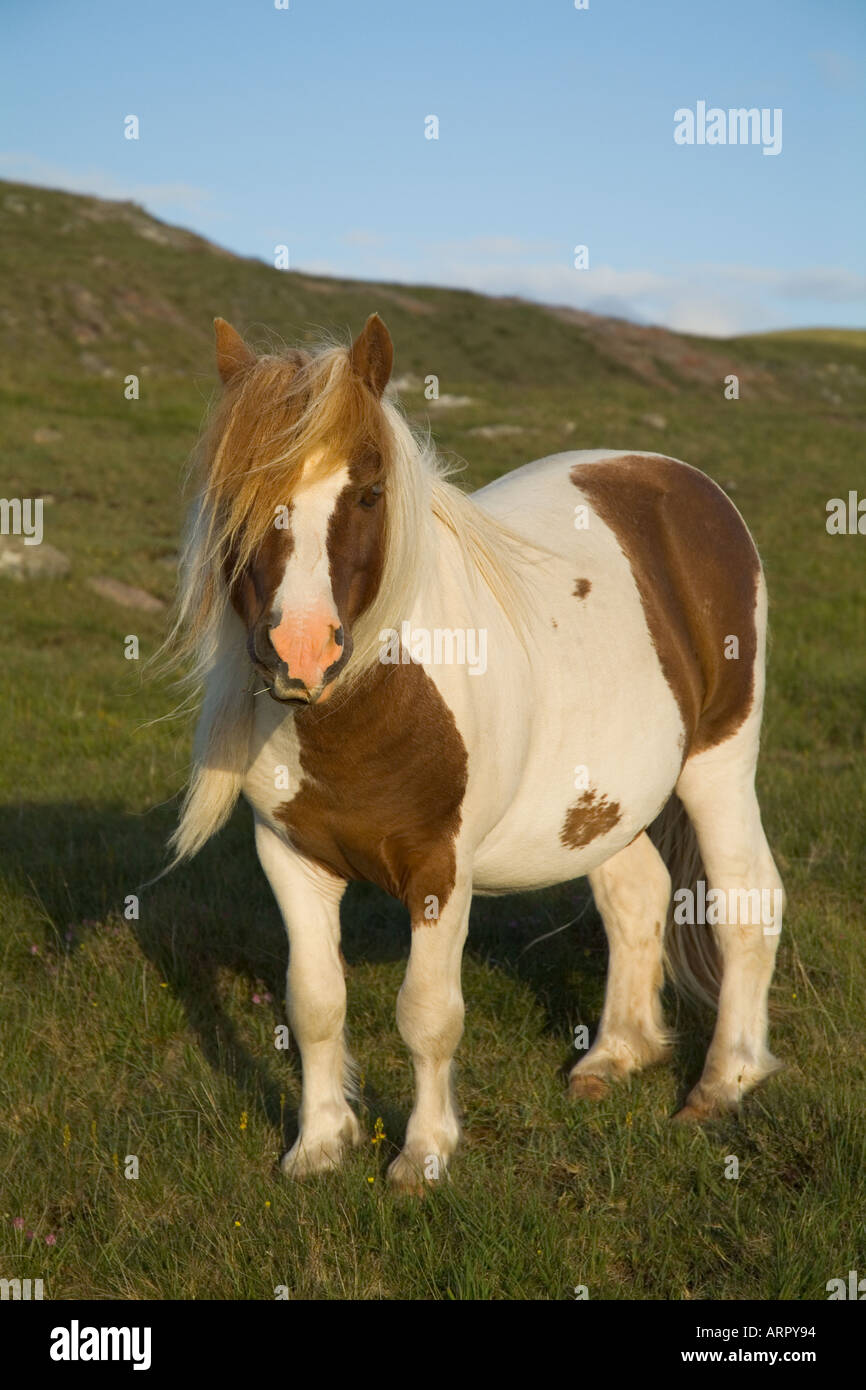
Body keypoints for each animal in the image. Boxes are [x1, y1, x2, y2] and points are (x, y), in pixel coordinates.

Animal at [165, 311, 784, 1189]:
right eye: (239, 497)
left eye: (369, 491)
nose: (301, 652)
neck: (363, 711)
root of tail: (685, 483)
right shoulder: (290, 857)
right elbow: (314, 1005)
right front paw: (319, 1146)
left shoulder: (439, 871)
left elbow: (427, 1016)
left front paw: (422, 1156)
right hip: (604, 802)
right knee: (635, 898)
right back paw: (615, 1056)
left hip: (719, 765)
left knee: (746, 904)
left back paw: (723, 1082)